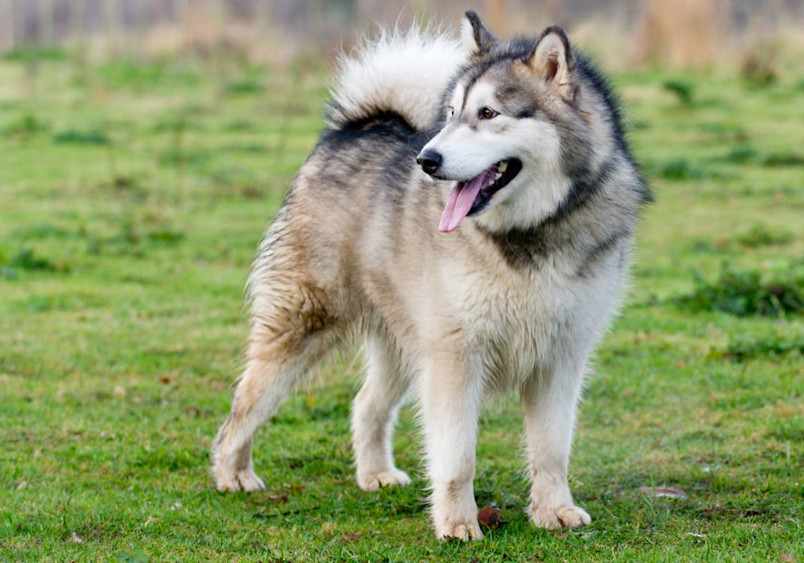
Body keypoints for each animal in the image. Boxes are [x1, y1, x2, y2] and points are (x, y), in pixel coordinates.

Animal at [210, 11, 652, 540]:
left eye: (488, 113)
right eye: (453, 112)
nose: (427, 160)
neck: (528, 236)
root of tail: (354, 128)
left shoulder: (561, 356)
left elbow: (551, 450)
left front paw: (553, 510)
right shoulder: (455, 358)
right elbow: (457, 456)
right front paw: (458, 522)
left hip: (405, 342)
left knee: (366, 404)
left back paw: (375, 474)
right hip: (307, 322)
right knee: (246, 401)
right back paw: (233, 472)